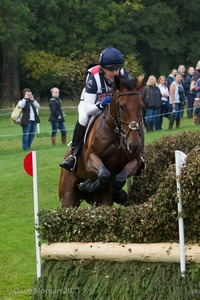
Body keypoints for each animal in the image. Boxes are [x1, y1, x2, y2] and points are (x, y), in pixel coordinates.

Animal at [58, 74, 145, 207]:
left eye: (141, 105)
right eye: (122, 106)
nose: (134, 145)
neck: (116, 134)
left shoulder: (134, 162)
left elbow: (119, 179)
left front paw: (118, 191)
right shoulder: (90, 158)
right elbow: (104, 174)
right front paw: (89, 185)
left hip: (101, 201)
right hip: (67, 199)